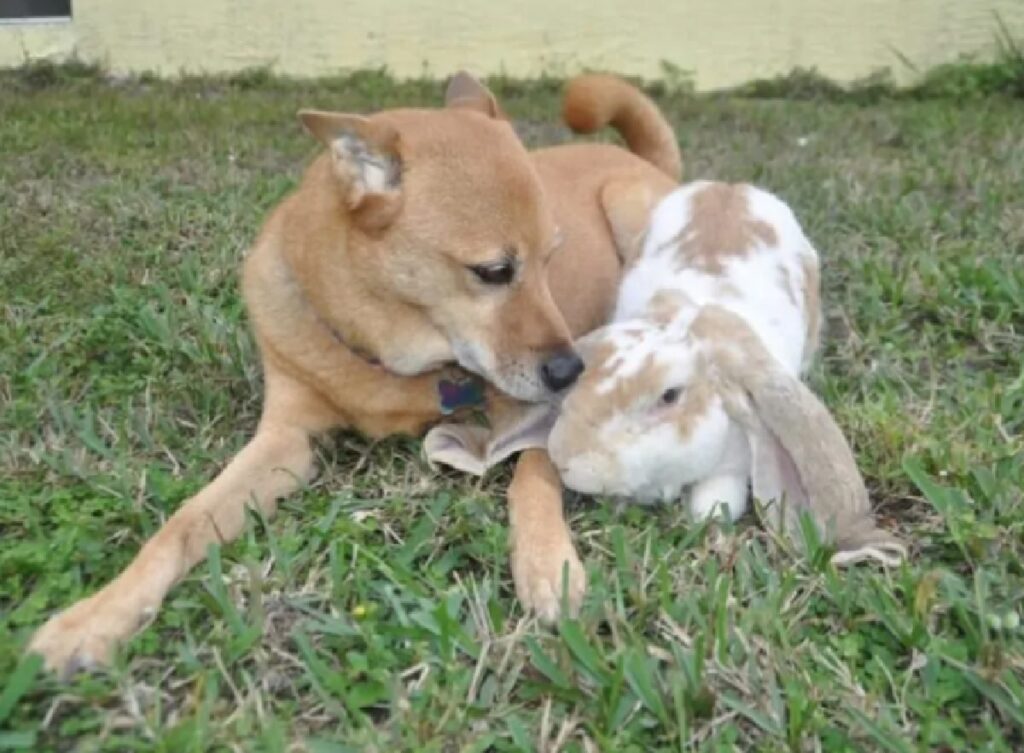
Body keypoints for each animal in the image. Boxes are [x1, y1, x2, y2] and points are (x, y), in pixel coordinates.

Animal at [28, 72, 679, 676]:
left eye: (552, 258)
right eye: (494, 271)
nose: (572, 371)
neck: (386, 354)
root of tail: (643, 161)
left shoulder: (538, 418)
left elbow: (533, 478)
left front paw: (548, 563)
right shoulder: (286, 442)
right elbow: (181, 524)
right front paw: (96, 616)